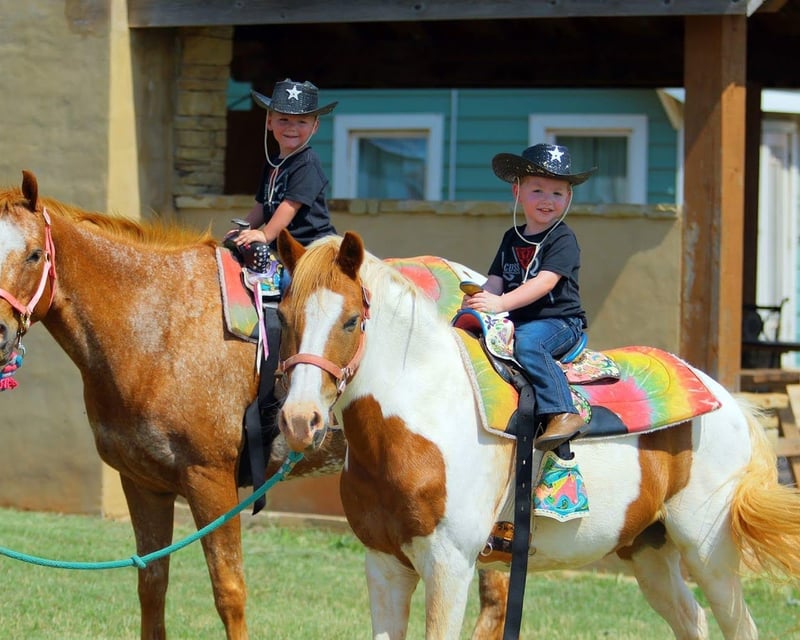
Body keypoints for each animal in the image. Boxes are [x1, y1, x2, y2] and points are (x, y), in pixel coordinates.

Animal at [275, 229, 800, 640]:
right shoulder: (383, 565)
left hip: (709, 552)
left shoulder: (449, 565)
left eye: (350, 321)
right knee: (692, 620)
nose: (301, 420)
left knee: (740, 626)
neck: (420, 416)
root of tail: (728, 401)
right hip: (649, 550)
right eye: (282, 317)